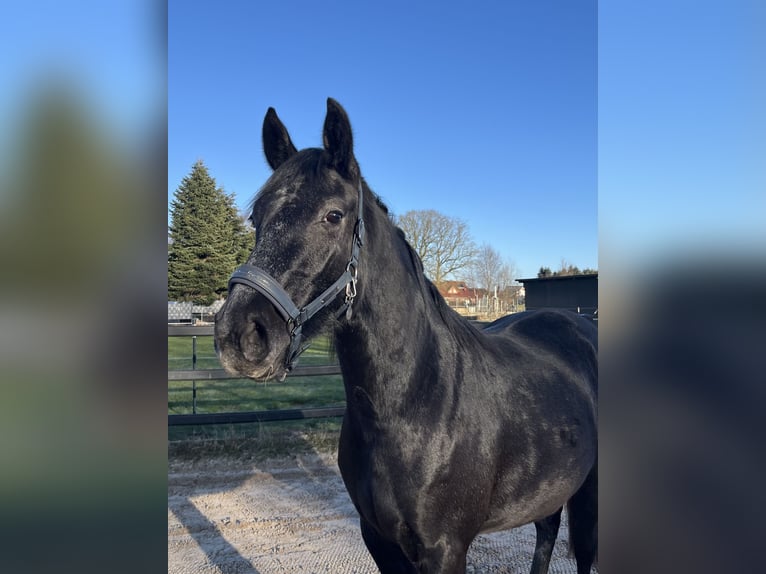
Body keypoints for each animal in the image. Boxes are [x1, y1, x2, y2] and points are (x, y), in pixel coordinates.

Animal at [214, 99, 597, 574]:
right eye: (256, 217)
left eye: (333, 215)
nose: (240, 334)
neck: (414, 404)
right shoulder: (378, 539)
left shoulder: (446, 549)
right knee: (546, 533)